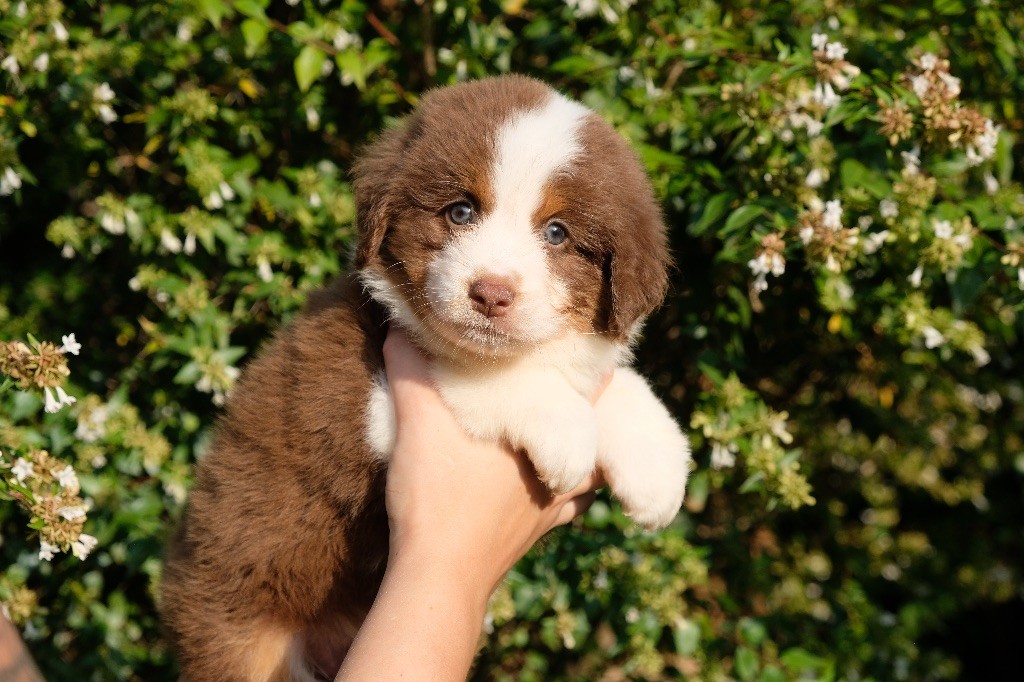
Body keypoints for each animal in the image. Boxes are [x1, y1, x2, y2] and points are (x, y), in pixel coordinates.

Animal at [161, 75, 691, 681]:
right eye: (460, 211)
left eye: (557, 233)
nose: (491, 292)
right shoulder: (356, 403)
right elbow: (477, 377)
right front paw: (569, 435)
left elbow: (616, 383)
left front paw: (658, 472)